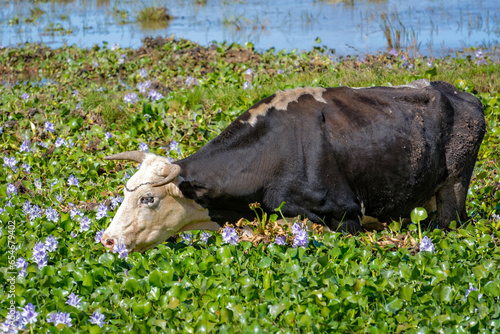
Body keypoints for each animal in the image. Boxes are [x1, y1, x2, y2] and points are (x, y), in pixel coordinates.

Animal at [100, 80, 484, 253]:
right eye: (124, 193)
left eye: (147, 198)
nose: (107, 239)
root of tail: (462, 94)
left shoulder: (345, 216)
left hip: (453, 193)